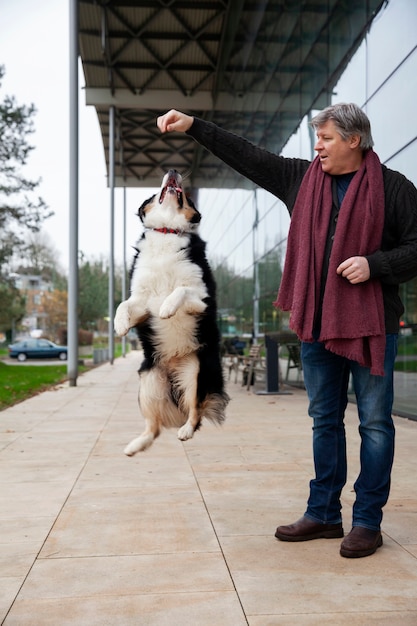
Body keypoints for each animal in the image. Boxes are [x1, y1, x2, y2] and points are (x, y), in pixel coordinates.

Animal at [114, 169, 228, 454]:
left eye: (186, 196)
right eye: (156, 192)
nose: (174, 171)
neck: (167, 232)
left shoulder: (202, 297)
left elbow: (179, 291)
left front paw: (166, 308)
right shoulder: (141, 301)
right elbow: (124, 304)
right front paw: (120, 325)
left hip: (196, 374)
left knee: (196, 411)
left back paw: (186, 430)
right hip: (148, 382)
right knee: (153, 427)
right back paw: (135, 445)